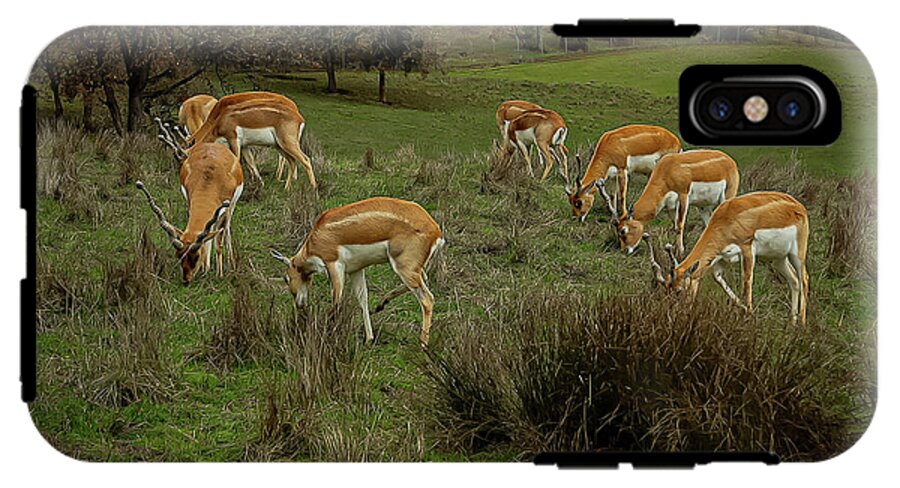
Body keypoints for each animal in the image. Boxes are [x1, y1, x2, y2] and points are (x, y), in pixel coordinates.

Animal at [140, 124, 244, 284]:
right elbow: (206, 237)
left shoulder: (224, 209)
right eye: (179, 256)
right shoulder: (191, 202)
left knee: (226, 229)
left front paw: (219, 274)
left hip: (231, 207)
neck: (210, 179)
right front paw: (205, 269)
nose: (186, 280)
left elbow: (218, 241)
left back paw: (231, 261)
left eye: (196, 257)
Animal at [270, 197, 445, 346]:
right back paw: (381, 304)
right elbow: (362, 299)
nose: (299, 304)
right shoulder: (356, 270)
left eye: (286, 278)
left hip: (403, 267)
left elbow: (336, 300)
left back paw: (423, 344)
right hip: (412, 268)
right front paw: (369, 339)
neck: (315, 239)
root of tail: (436, 230)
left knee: (427, 299)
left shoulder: (334, 265)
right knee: (423, 280)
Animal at [603, 149, 740, 256]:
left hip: (726, 198)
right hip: (703, 207)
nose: (624, 250)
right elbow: (674, 226)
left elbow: (680, 225)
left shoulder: (683, 196)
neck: (667, 170)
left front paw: (680, 252)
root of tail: (730, 161)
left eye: (623, 231)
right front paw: (673, 250)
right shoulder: (671, 207)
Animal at [645, 192, 809, 324]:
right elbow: (719, 279)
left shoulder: (747, 249)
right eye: (666, 289)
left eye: (679, 291)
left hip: (797, 255)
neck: (727, 218)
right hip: (778, 259)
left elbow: (747, 281)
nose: (673, 315)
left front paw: (749, 314)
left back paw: (801, 324)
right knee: (794, 280)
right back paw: (792, 323)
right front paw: (744, 309)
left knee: (804, 279)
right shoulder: (720, 258)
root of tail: (799, 207)